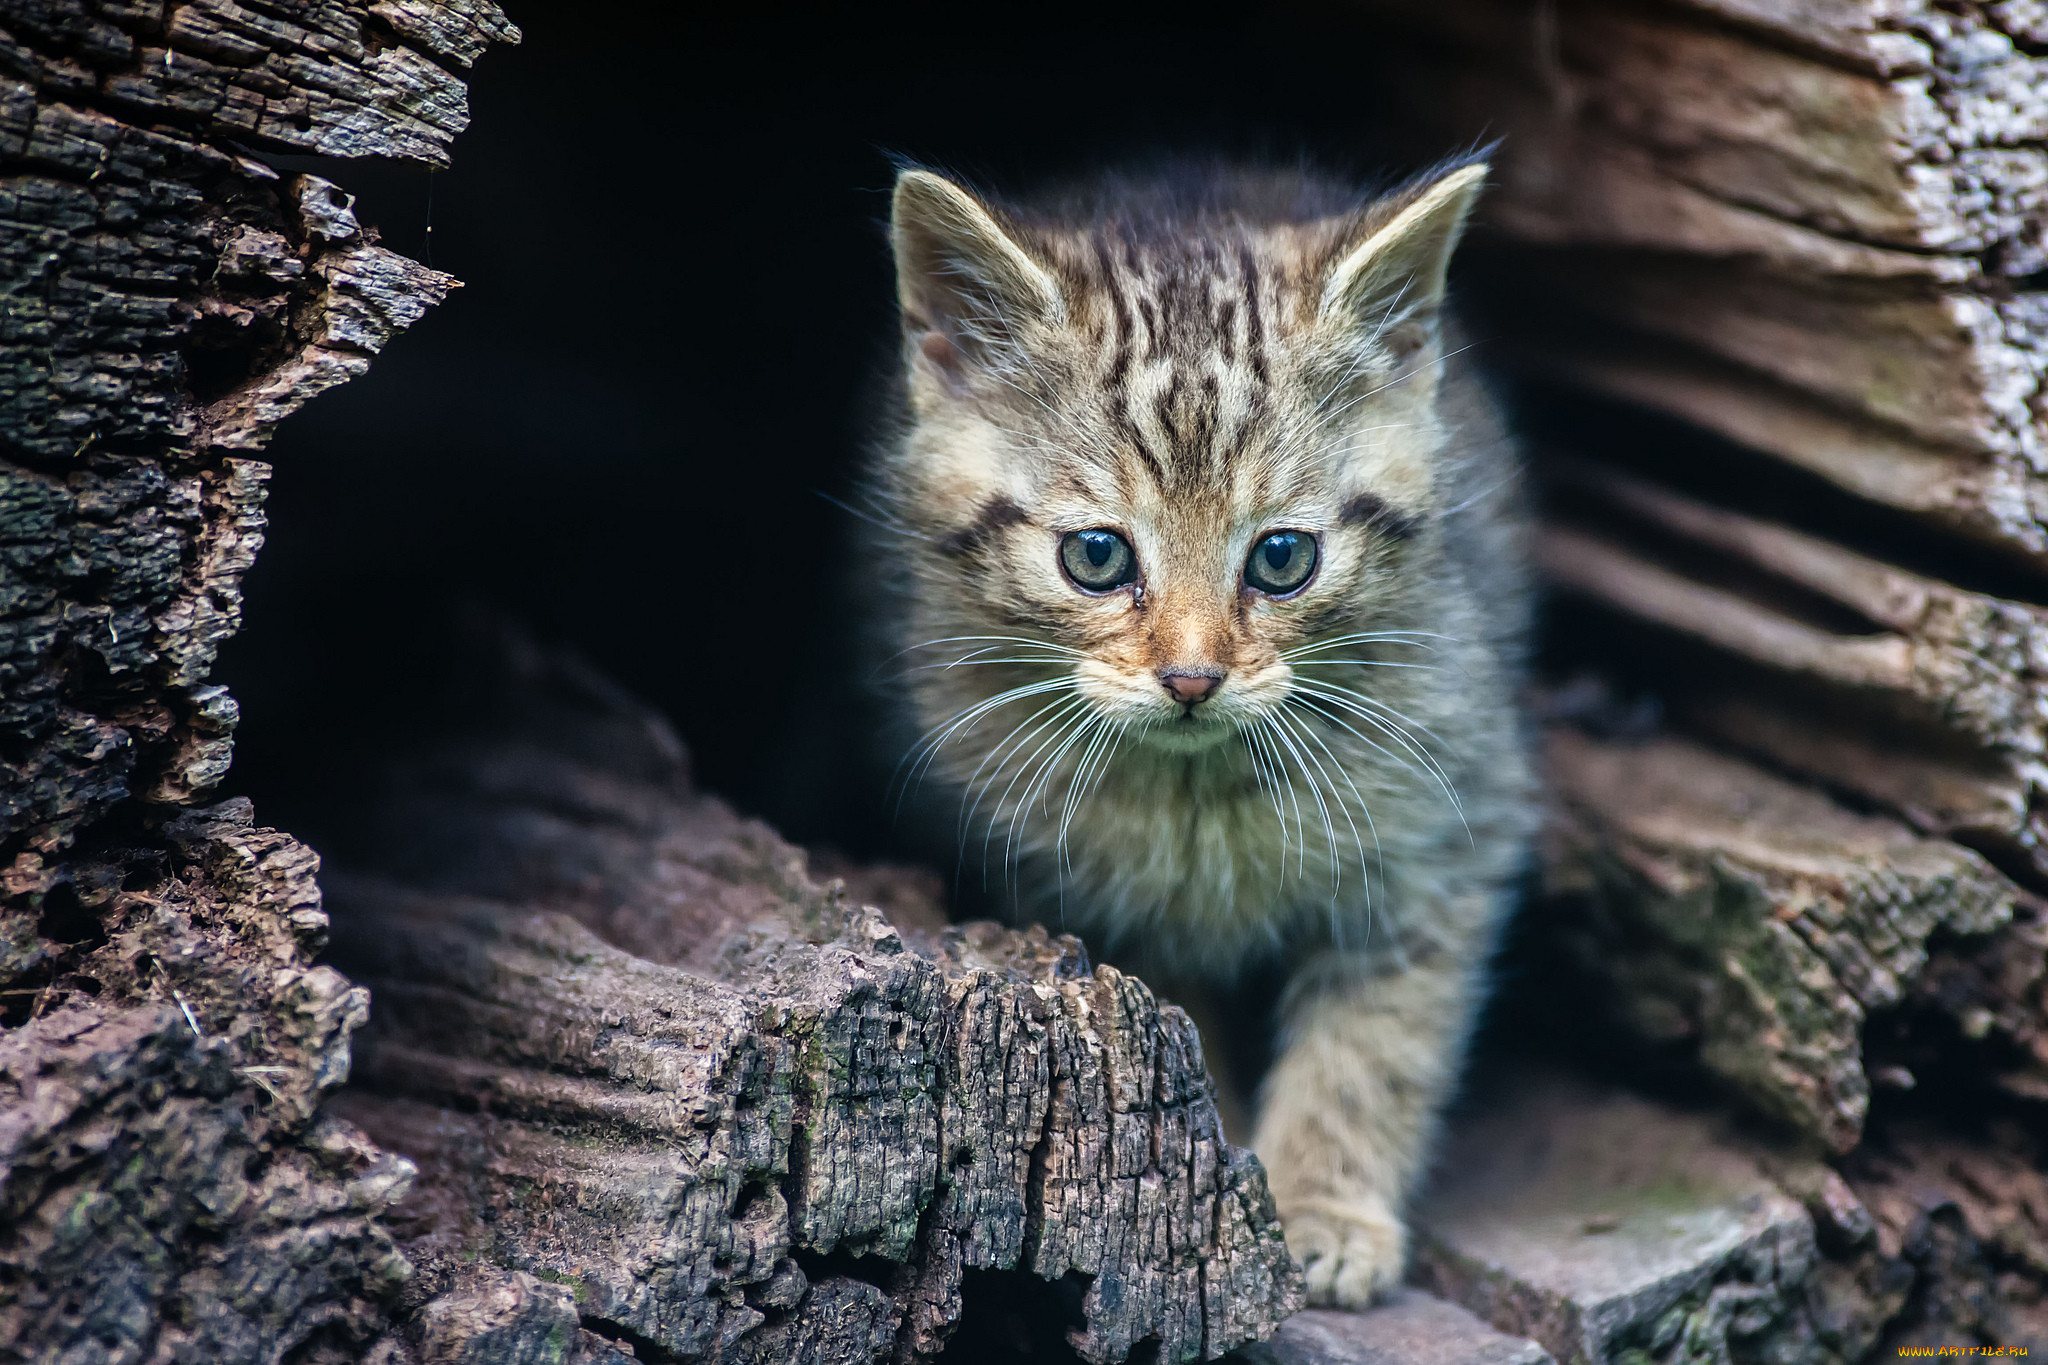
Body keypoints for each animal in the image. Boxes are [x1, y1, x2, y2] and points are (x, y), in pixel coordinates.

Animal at [864, 162, 1540, 1309]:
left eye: (1282, 558)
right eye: (1096, 556)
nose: (1190, 676)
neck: (1201, 790)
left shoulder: (1446, 826)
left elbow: (1377, 1038)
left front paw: (1325, 1209)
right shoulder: (1076, 893)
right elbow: (1168, 1037)